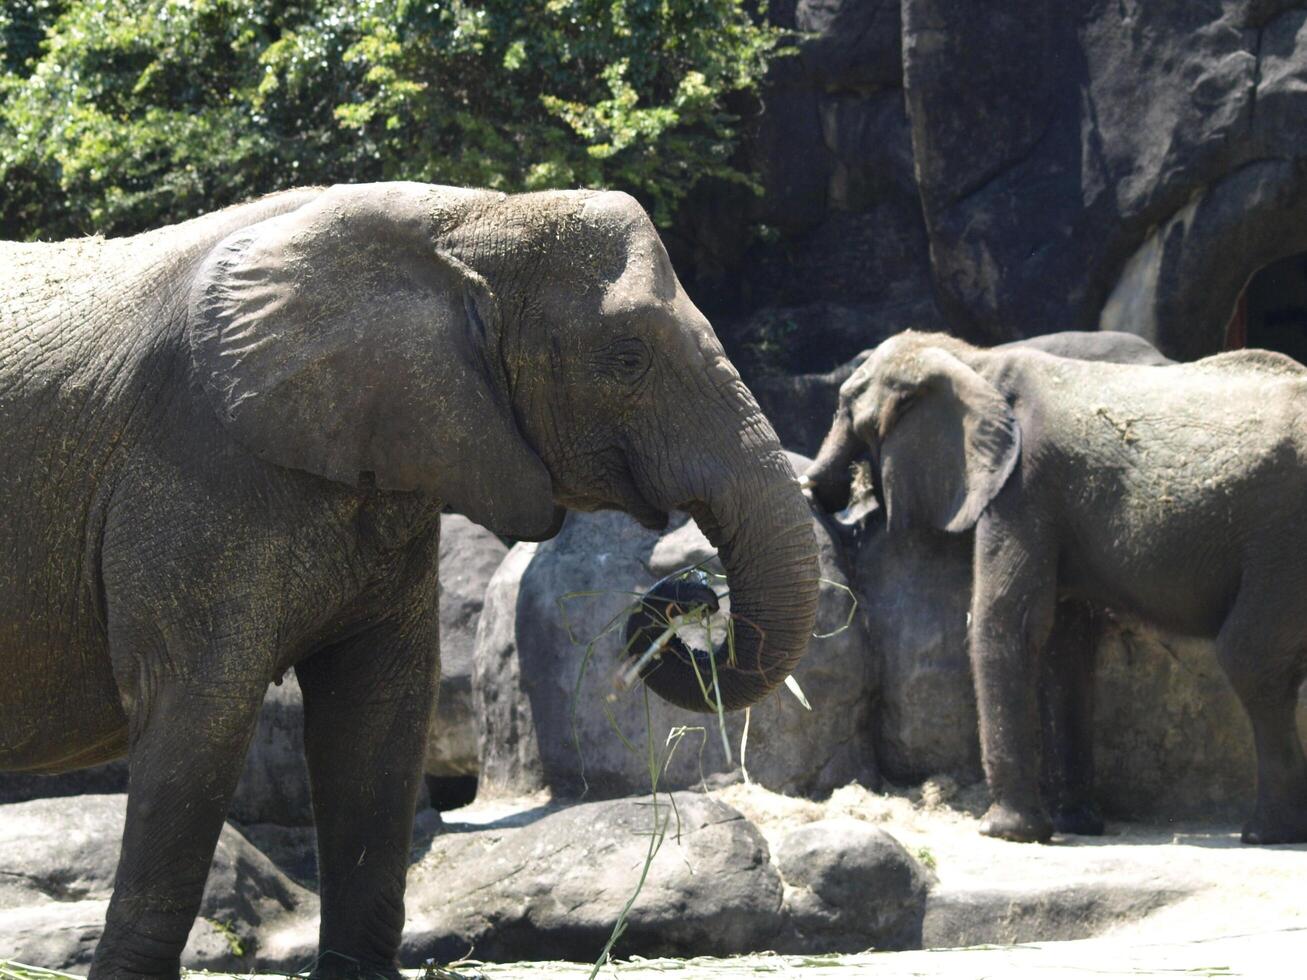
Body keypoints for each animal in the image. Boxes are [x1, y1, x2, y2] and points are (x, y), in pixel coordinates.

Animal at [0, 182, 815, 977]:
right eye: (627, 358)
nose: (686, 596)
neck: (466, 218)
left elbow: (376, 715)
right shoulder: (190, 467)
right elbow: (198, 708)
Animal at [805, 330, 1307, 846]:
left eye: (847, 407)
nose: (821, 494)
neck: (975, 361)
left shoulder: (1024, 485)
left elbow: (1011, 621)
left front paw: (1005, 832)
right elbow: (1064, 642)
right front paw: (1076, 825)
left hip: (1283, 539)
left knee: (1250, 657)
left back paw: (1267, 832)